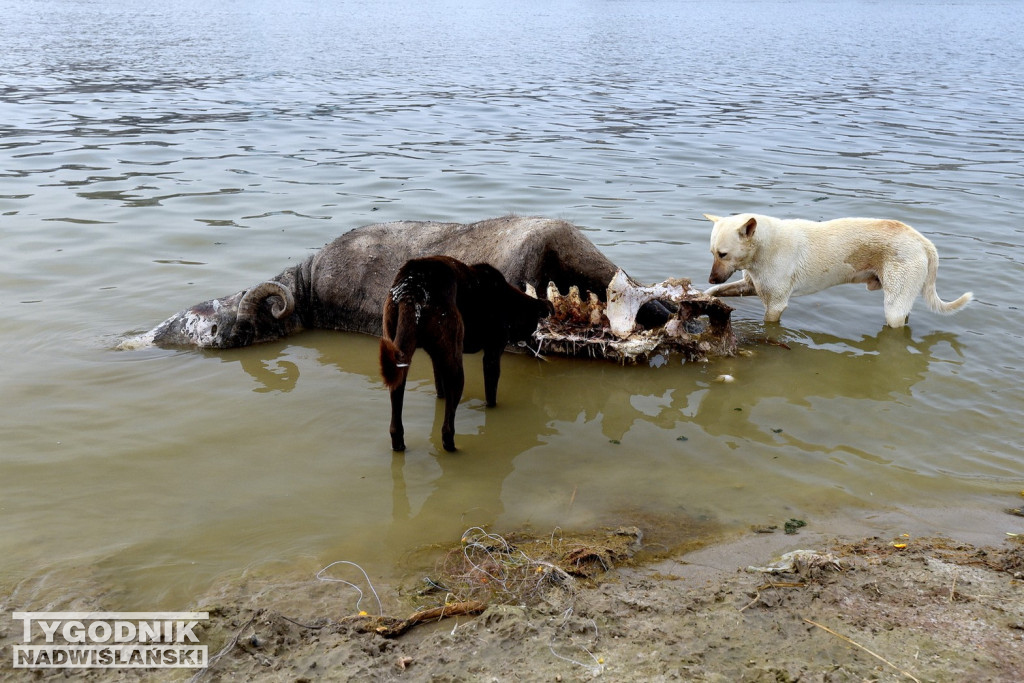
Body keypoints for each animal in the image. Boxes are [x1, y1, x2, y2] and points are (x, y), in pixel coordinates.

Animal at [378, 253, 552, 450]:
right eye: (535, 324)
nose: (535, 343)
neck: (508, 299)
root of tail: (412, 286)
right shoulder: (492, 353)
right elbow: (491, 393)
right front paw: (493, 408)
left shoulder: (438, 359)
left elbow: (440, 388)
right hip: (455, 367)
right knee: (447, 428)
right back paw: (452, 448)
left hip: (399, 356)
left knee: (396, 410)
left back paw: (399, 444)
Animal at [704, 215, 974, 329]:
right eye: (712, 253)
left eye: (723, 254)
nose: (711, 276)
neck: (764, 245)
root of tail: (923, 241)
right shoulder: (749, 286)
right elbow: (715, 291)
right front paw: (703, 297)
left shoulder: (776, 304)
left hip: (894, 305)